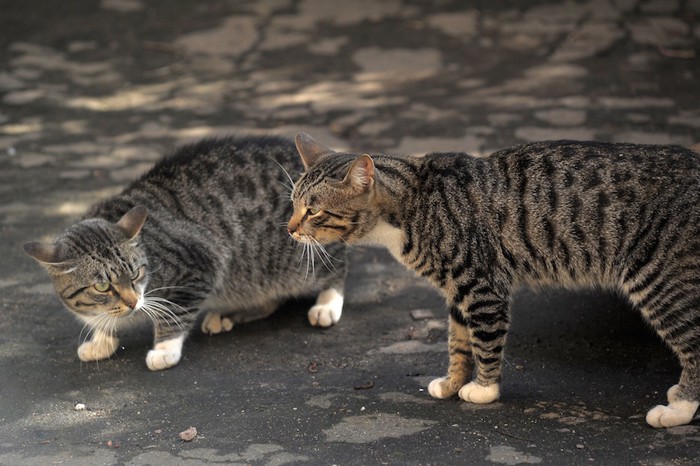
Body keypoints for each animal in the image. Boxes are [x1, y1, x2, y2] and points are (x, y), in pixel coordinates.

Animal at [23, 136, 346, 372]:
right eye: (102, 286)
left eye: (136, 274)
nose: (133, 302)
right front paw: (102, 339)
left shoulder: (201, 265)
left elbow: (175, 315)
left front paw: (164, 350)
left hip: (302, 255)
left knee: (336, 270)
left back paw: (327, 305)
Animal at [286, 130, 700, 426]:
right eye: (292, 203)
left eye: (314, 211)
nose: (289, 229)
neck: (414, 204)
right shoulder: (457, 292)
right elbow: (458, 343)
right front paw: (452, 383)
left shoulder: (482, 286)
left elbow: (484, 341)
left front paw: (483, 389)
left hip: (658, 280)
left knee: (694, 343)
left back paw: (678, 409)